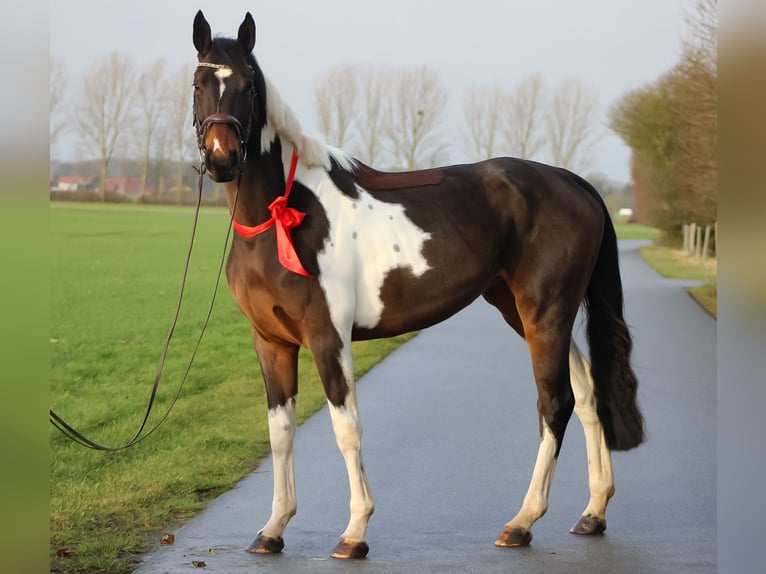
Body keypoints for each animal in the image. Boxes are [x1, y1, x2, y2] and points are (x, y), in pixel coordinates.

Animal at [190, 11, 640, 560]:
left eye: (248, 87)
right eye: (199, 84)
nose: (222, 157)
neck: (284, 213)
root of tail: (573, 182)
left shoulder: (327, 336)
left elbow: (346, 427)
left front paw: (355, 532)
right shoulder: (271, 341)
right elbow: (280, 431)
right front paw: (273, 528)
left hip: (545, 311)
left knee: (556, 403)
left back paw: (522, 522)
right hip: (524, 312)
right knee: (588, 390)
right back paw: (593, 513)